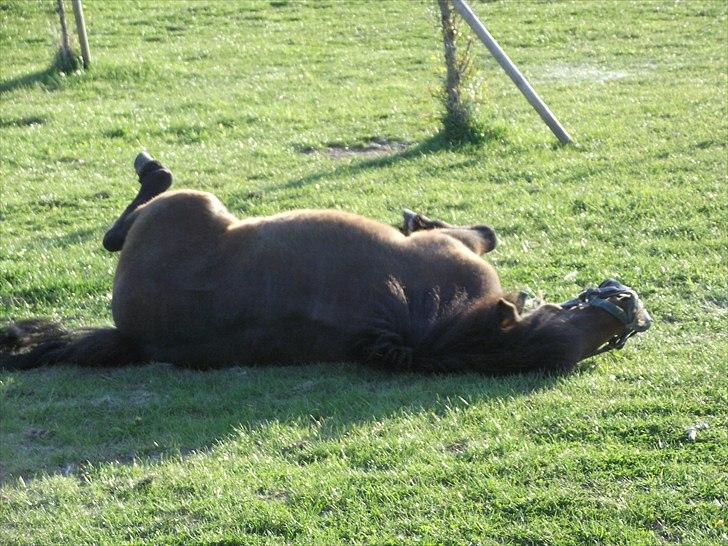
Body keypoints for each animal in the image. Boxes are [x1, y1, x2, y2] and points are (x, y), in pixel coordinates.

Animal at [0, 153, 648, 374]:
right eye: (581, 324)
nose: (631, 304)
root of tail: (133, 336)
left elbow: (479, 232)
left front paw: (417, 219)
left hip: (194, 204)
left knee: (120, 229)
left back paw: (152, 169)